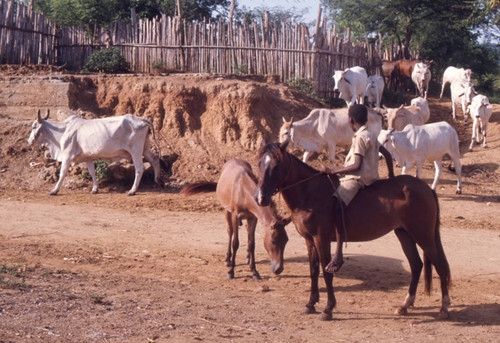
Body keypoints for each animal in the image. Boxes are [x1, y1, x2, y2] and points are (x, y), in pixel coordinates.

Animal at [27, 110, 162, 196]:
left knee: (139, 168)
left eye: (34, 126)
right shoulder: (87, 157)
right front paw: (95, 189)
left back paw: (132, 191)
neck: (63, 130)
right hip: (145, 148)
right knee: (155, 160)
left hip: (135, 151)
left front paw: (54, 190)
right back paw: (158, 180)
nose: (29, 141)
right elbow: (92, 172)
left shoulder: (67, 155)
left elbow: (62, 173)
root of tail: (142, 119)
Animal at [256, 140, 452, 322]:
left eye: (276, 165)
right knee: (416, 265)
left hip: (423, 235)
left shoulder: (321, 239)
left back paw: (444, 308)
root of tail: (425, 187)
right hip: (404, 234)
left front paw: (328, 309)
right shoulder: (309, 240)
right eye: (259, 164)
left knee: (439, 265)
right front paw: (310, 304)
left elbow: (326, 272)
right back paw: (405, 305)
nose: (261, 198)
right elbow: (313, 271)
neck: (309, 193)